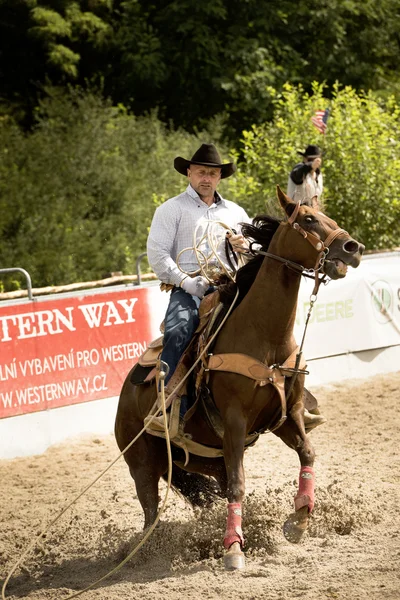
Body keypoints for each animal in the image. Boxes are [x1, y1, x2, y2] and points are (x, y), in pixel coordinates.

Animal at [114, 190, 364, 568]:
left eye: (328, 218)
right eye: (307, 219)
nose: (353, 247)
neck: (264, 335)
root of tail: (124, 396)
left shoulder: (286, 415)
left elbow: (307, 453)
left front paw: (298, 520)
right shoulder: (235, 421)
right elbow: (238, 485)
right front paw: (233, 548)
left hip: (208, 457)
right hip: (143, 464)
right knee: (150, 513)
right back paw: (148, 552)